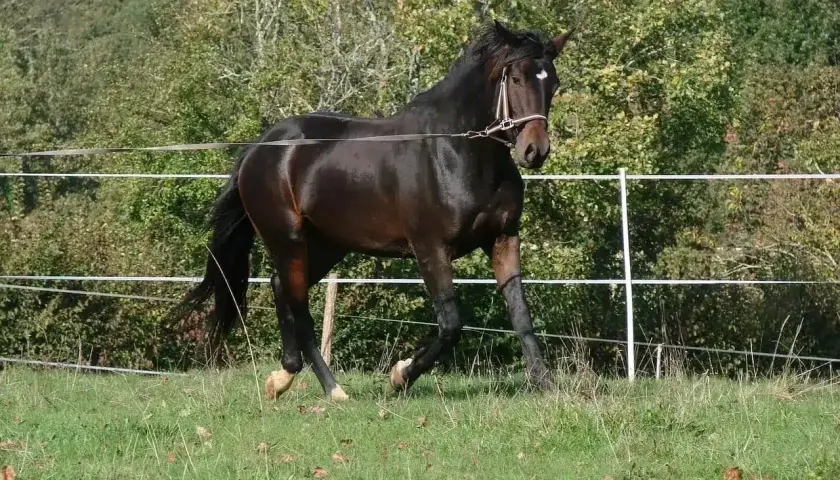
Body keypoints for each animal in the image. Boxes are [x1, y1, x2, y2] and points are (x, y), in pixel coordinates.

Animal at [172, 20, 574, 401]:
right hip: (286, 238)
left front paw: (545, 384)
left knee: (279, 286)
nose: (535, 150)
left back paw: (287, 379)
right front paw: (400, 375)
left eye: (553, 84)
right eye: (517, 78)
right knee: (298, 305)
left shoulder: (504, 238)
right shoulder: (430, 249)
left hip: (328, 245)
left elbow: (521, 314)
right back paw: (329, 388)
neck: (456, 151)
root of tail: (260, 147)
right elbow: (450, 325)